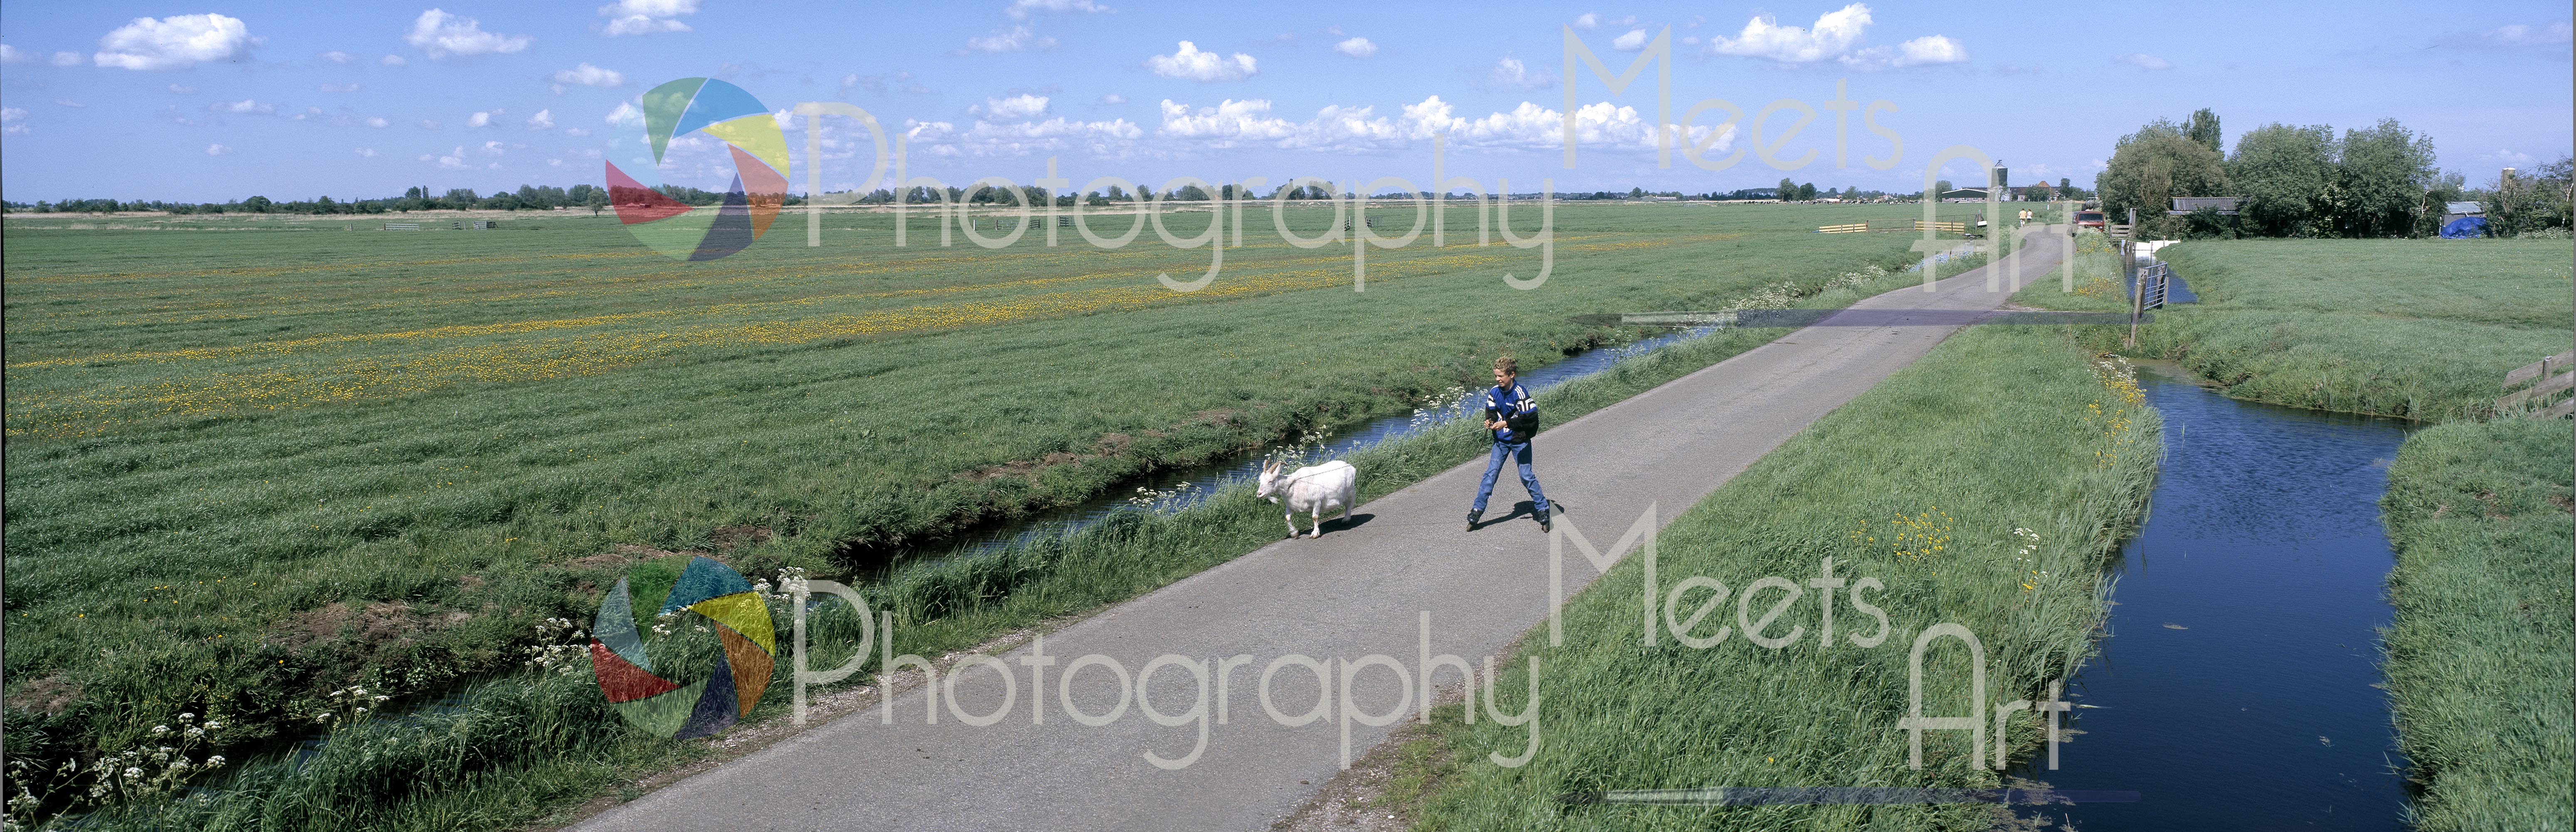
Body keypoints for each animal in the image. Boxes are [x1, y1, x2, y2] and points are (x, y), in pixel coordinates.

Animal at [1252, 463, 1360, 541]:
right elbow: (1287, 518)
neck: (1293, 484)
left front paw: (1315, 533)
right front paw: (1294, 533)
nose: (1259, 494)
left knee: (1349, 504)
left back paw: (1346, 520)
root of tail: (1350, 466)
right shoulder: (1291, 506)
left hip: (1350, 492)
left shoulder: (1317, 502)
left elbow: (1315, 517)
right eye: (1260, 480)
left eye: (1271, 481)